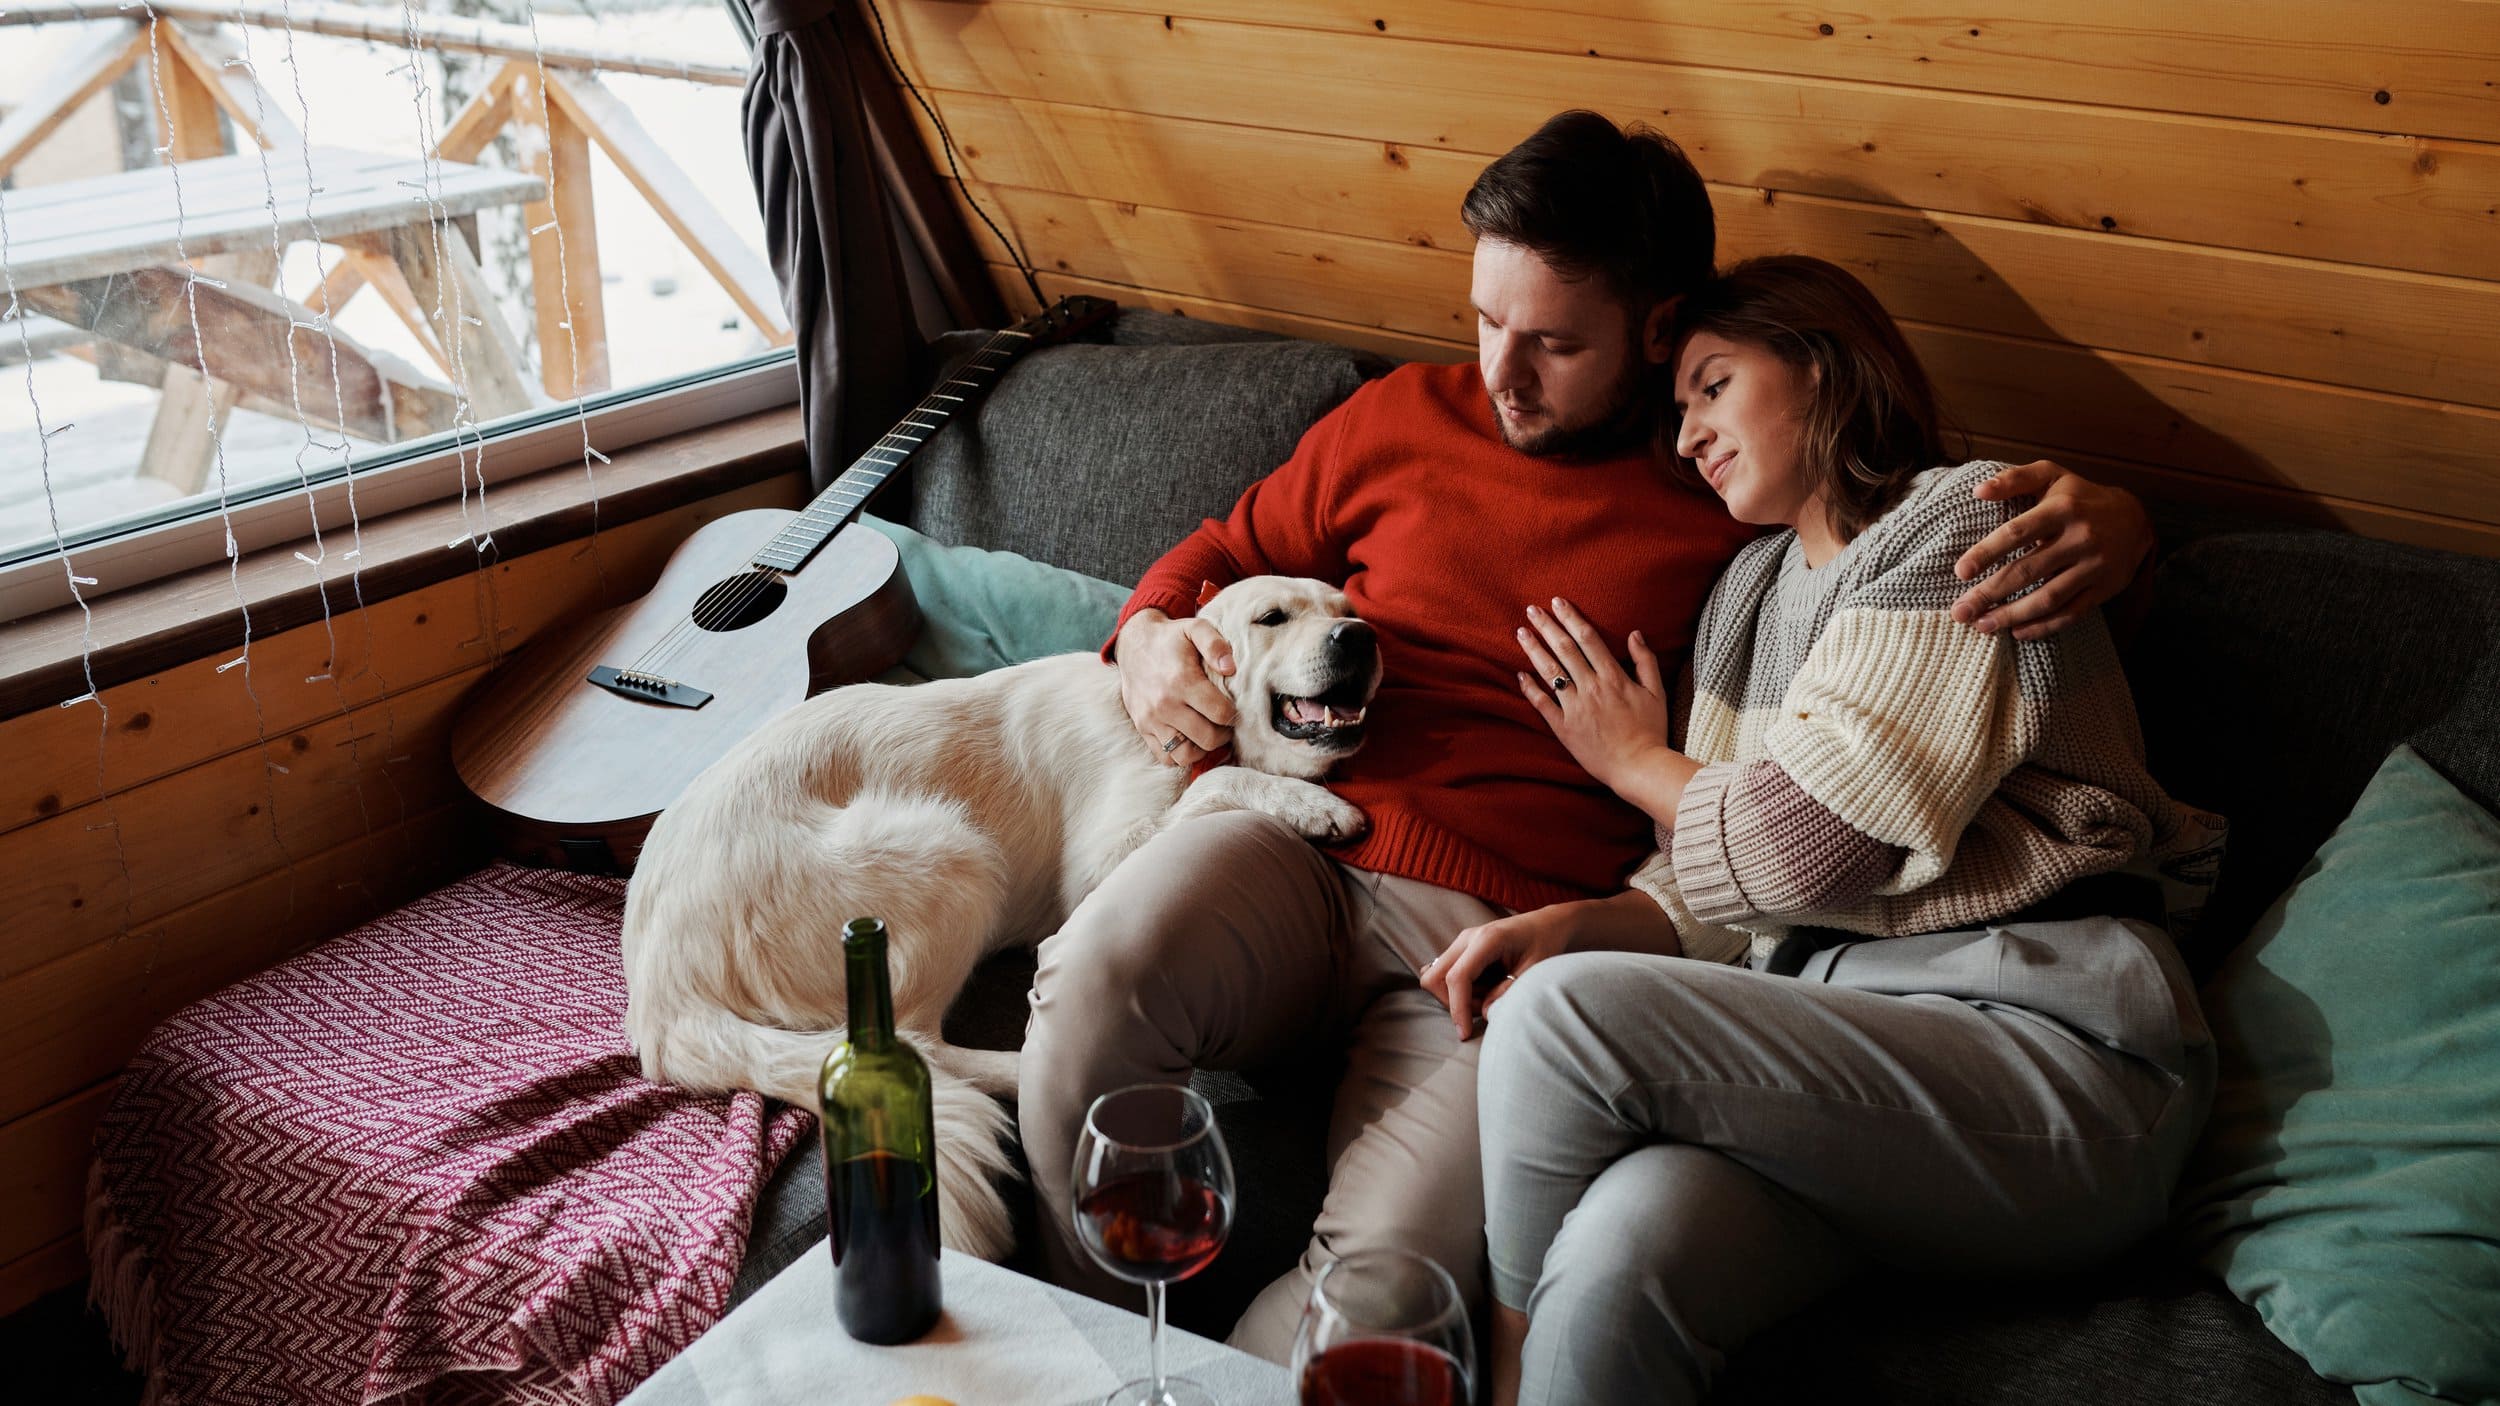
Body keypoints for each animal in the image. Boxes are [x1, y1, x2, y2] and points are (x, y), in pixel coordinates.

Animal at [615, 575, 1380, 1250]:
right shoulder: (1100, 870)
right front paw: (1313, 804)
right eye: (1272, 617)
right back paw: (1023, 1072)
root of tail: (660, 997)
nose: (1360, 638)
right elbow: (1224, 782)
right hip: (953, 848)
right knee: (917, 1047)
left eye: (1347, 607)